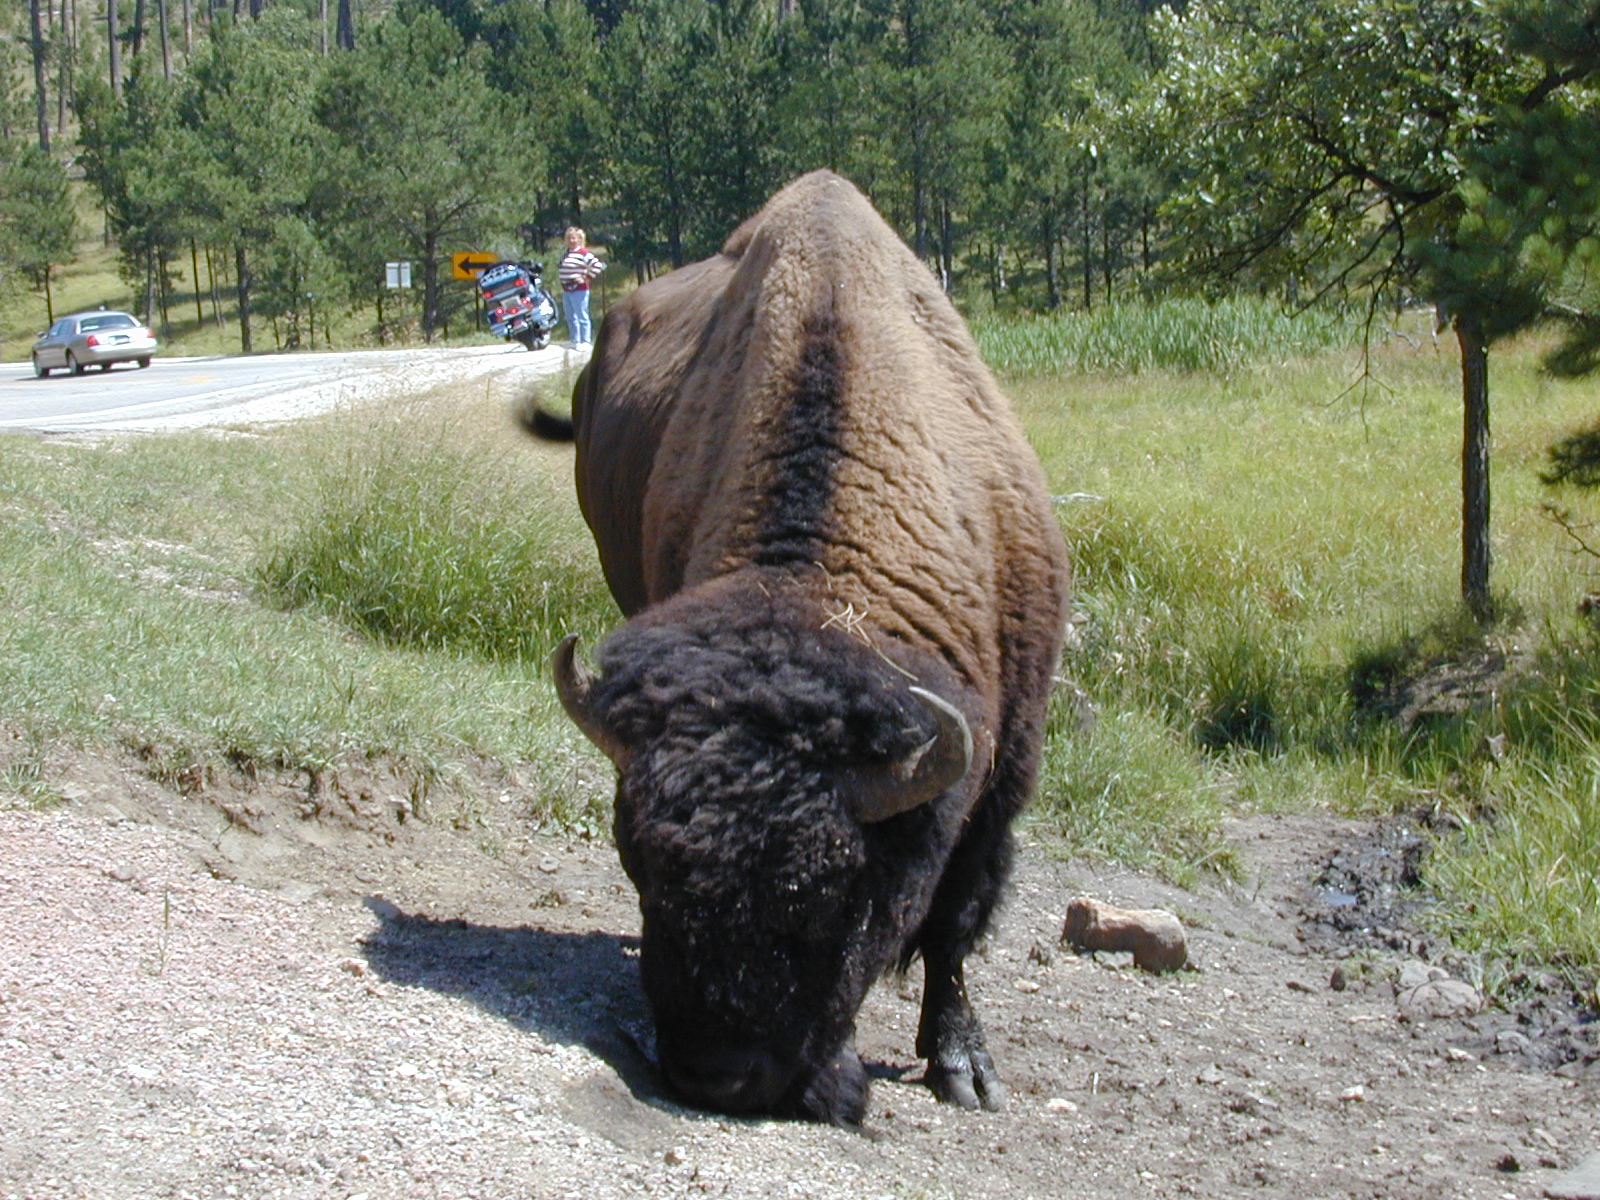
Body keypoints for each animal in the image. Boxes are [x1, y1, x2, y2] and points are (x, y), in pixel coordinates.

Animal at [531, 170, 1070, 1126]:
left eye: (836, 897)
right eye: (640, 865)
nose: (717, 1075)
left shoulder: (1005, 763)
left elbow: (959, 918)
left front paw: (964, 1067)